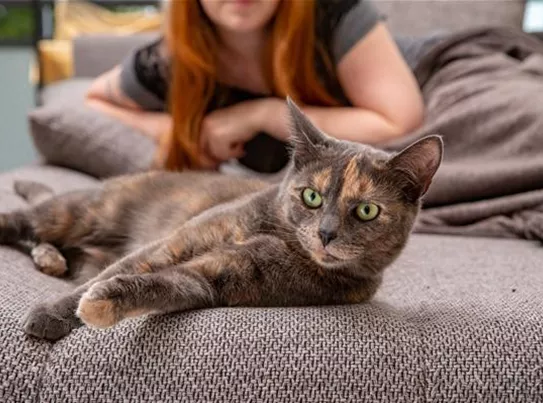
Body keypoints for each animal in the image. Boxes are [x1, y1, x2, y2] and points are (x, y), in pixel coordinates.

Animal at [0, 98, 442, 340]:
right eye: (312, 196)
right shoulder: (175, 242)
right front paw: (51, 314)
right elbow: (125, 268)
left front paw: (100, 304)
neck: (275, 237)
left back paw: (52, 259)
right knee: (24, 221)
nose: (326, 233)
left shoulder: (221, 276)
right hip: (81, 211)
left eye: (367, 210)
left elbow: (164, 284)